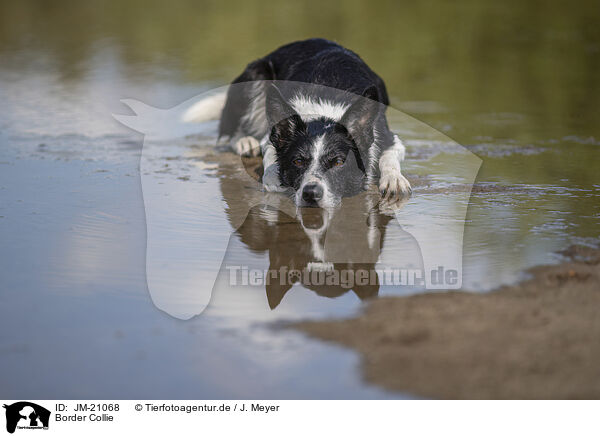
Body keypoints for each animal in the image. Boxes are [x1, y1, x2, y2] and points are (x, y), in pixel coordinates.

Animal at [188, 38, 412, 207]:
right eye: (297, 161)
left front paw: (394, 179)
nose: (311, 192)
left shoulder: (389, 137)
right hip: (255, 75)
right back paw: (245, 142)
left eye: (338, 162)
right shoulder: (273, 138)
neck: (324, 111)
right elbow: (270, 159)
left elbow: (389, 157)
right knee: (230, 130)